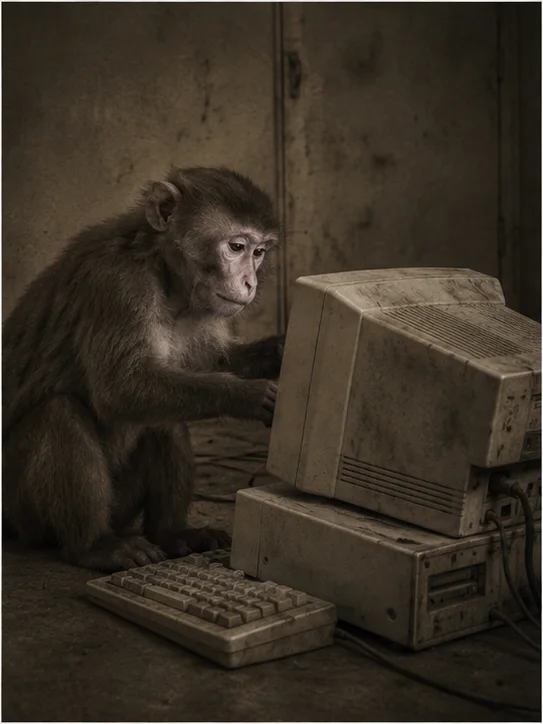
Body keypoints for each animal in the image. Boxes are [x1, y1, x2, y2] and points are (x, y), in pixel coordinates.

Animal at [3, 166, 284, 572]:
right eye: (236, 248)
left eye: (259, 252)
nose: (250, 282)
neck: (163, 273)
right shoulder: (119, 284)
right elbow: (120, 388)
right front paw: (251, 396)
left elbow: (208, 364)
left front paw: (280, 350)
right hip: (22, 512)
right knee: (59, 414)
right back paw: (94, 545)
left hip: (121, 504)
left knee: (165, 417)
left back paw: (171, 533)